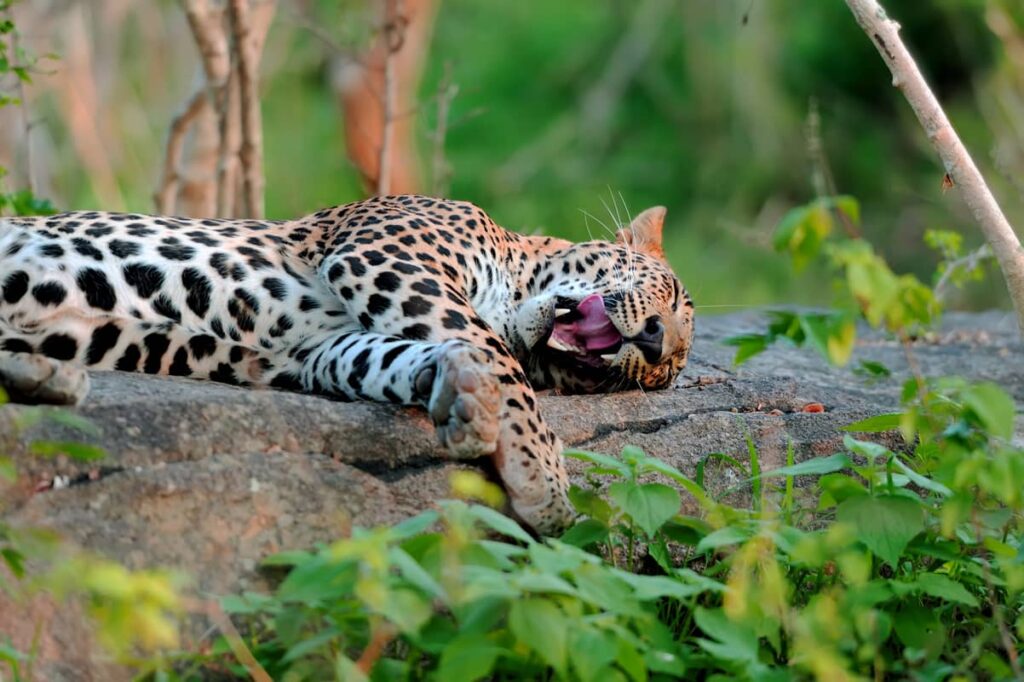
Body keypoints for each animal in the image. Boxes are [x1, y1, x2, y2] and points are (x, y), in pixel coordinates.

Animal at [0, 195, 694, 534]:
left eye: (661, 376)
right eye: (673, 295)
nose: (656, 344)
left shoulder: (318, 348)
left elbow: (385, 357)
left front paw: (460, 389)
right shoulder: (386, 256)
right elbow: (503, 362)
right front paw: (543, 476)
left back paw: (46, 377)